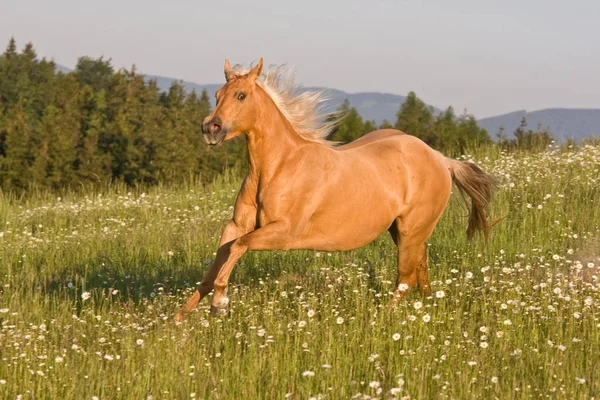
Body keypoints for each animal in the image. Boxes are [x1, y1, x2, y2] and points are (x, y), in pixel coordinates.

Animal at [176, 57, 494, 320]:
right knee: (421, 269)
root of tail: (441, 159)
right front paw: (180, 318)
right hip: (404, 231)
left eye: (241, 96)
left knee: (405, 278)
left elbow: (238, 247)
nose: (211, 129)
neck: (278, 167)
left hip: (411, 231)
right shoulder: (237, 225)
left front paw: (219, 303)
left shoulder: (284, 232)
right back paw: (426, 307)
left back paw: (385, 320)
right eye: (217, 95)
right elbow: (219, 260)